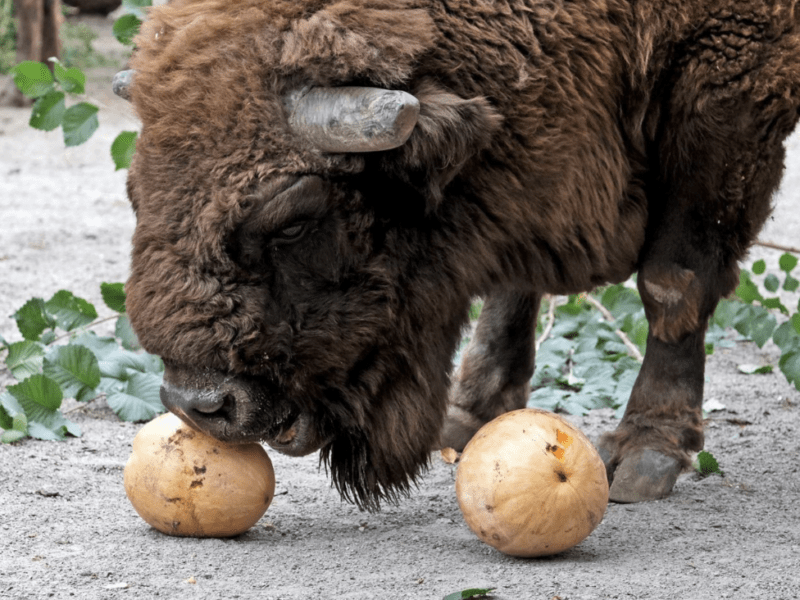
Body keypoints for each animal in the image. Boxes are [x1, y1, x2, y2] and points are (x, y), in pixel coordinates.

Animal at [115, 0, 800, 508]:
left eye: (291, 222)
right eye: (134, 194)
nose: (201, 405)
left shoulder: (729, 84)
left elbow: (672, 280)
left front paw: (646, 452)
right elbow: (511, 279)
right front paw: (469, 416)